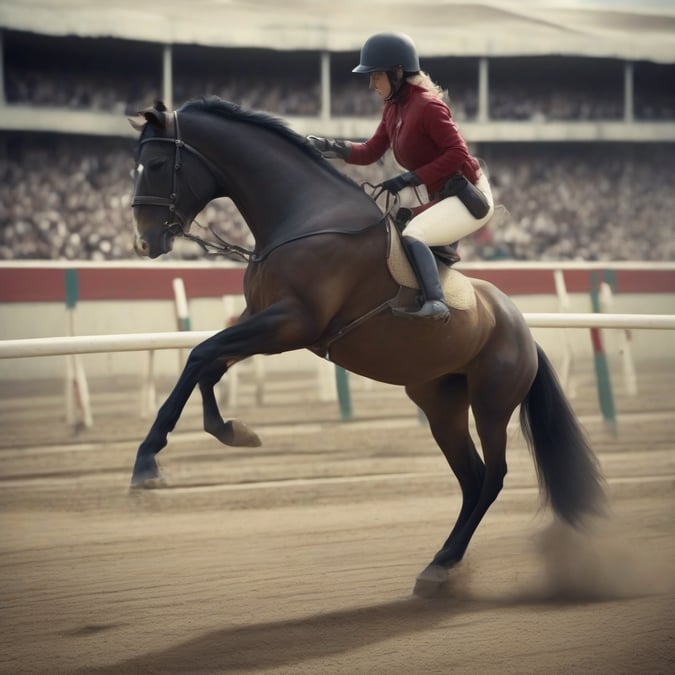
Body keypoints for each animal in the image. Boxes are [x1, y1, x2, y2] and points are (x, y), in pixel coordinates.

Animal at [128, 97, 605, 593]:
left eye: (157, 165)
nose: (144, 241)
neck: (307, 218)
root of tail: (521, 328)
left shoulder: (291, 324)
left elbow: (199, 356)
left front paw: (148, 462)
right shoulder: (260, 321)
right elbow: (208, 363)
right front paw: (230, 429)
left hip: (491, 405)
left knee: (492, 477)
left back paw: (446, 560)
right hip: (441, 405)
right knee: (471, 478)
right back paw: (440, 563)